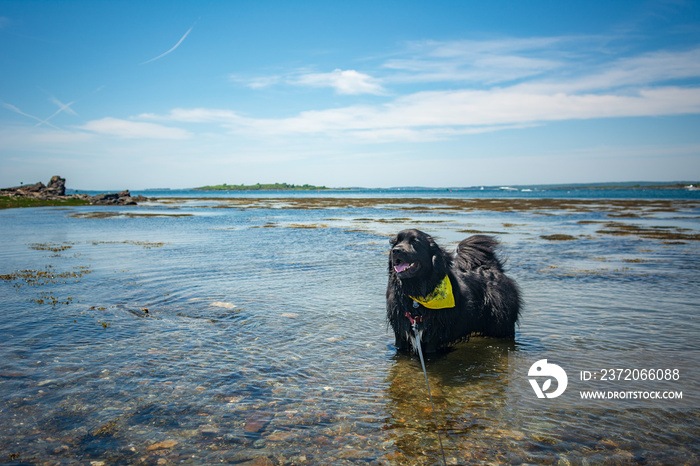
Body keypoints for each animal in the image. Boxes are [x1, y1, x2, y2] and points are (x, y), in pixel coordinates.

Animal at [388, 229, 520, 354]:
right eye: (396, 242)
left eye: (415, 242)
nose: (396, 250)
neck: (415, 294)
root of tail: (494, 268)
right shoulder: (400, 333)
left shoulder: (433, 336)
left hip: (502, 325)